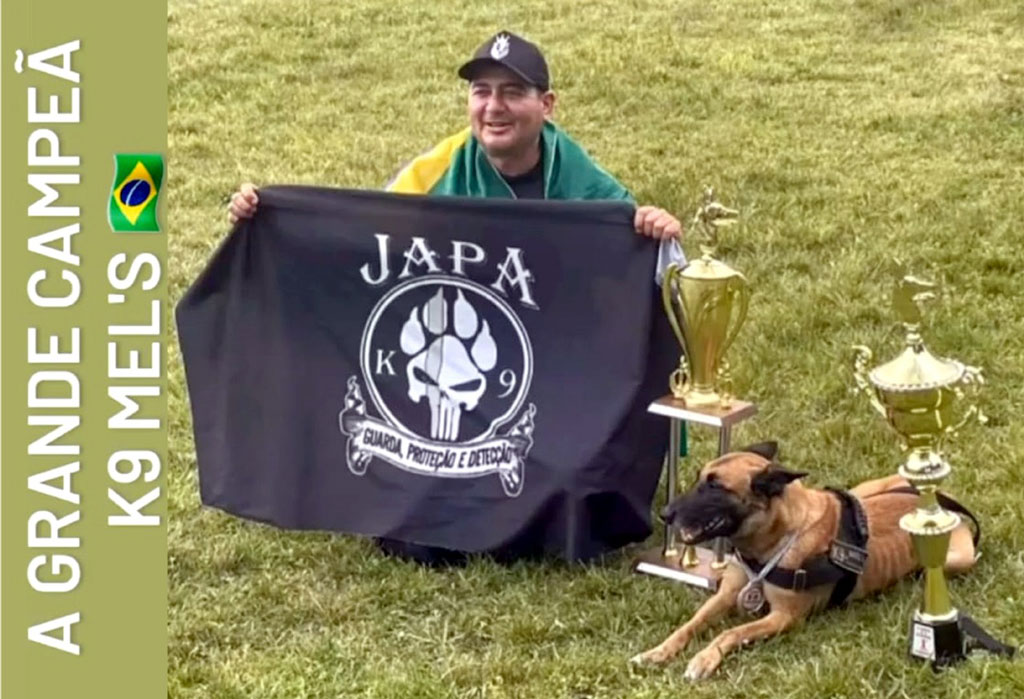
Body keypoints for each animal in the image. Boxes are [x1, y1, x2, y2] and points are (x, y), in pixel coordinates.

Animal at [630, 442, 974, 679]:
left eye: (715, 486)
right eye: (700, 479)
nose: (665, 514)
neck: (773, 542)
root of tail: (938, 502)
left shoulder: (783, 617)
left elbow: (730, 633)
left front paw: (704, 658)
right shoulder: (725, 595)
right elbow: (691, 624)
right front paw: (658, 651)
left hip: (958, 559)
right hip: (865, 490)